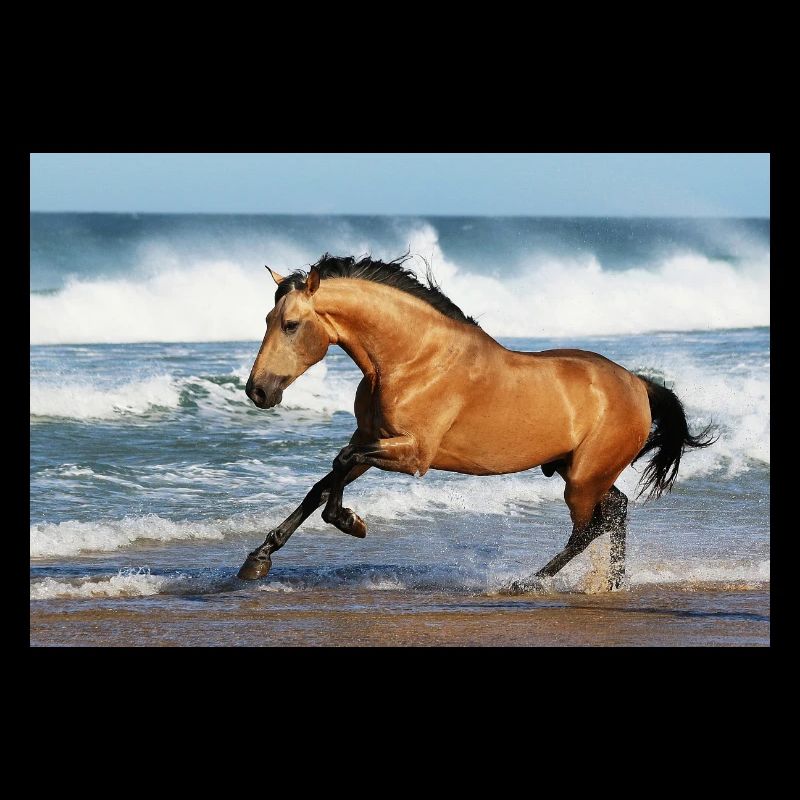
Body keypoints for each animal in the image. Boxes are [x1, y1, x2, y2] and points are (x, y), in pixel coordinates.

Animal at [238, 254, 715, 590]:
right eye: (267, 320)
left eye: (291, 324)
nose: (257, 391)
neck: (412, 360)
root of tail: (637, 383)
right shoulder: (374, 438)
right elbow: (323, 482)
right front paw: (258, 559)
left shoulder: (412, 454)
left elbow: (340, 462)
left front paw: (349, 521)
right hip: (576, 468)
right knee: (616, 511)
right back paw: (610, 582)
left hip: (583, 478)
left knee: (591, 527)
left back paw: (528, 582)